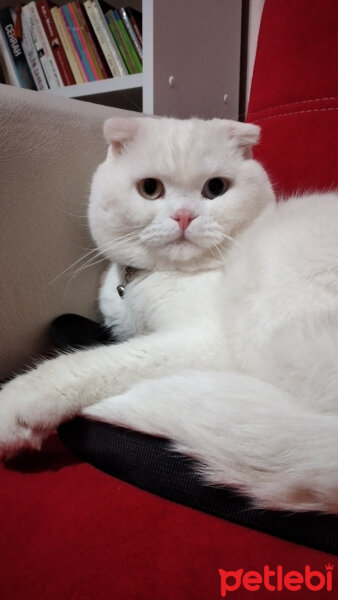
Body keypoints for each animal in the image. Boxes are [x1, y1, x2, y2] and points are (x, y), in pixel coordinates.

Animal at [0, 116, 338, 510]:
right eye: (150, 189)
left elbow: (94, 363)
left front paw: (17, 404)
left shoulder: (202, 342)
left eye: (215, 188)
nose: (184, 215)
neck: (146, 281)